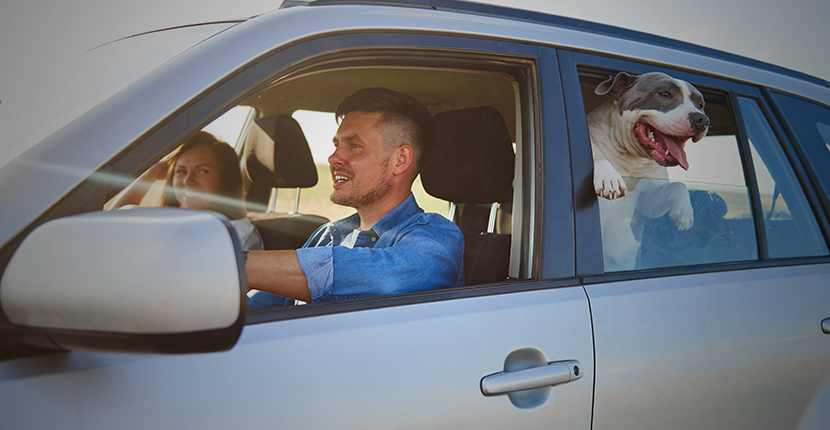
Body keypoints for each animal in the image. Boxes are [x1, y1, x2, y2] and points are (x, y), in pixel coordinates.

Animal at [588, 72, 712, 270]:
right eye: (664, 93)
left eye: (700, 105)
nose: (702, 119)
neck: (631, 160)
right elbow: (599, 159)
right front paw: (609, 178)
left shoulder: (647, 202)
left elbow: (678, 186)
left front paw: (684, 212)